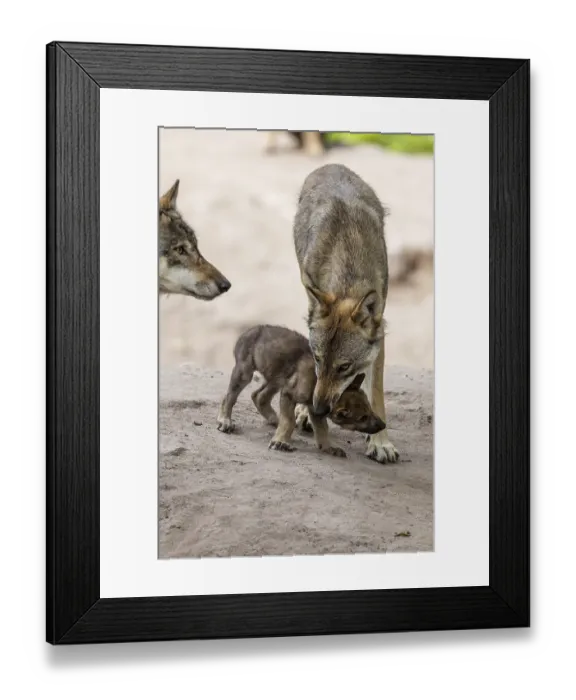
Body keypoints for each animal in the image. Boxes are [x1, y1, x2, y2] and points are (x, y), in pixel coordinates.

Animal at [216, 324, 385, 456]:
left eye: (370, 409)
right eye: (362, 418)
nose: (383, 425)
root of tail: (249, 330)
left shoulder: (315, 410)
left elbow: (323, 429)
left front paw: (328, 447)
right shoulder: (288, 395)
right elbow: (289, 420)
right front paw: (281, 441)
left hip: (276, 378)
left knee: (259, 396)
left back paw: (273, 419)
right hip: (245, 372)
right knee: (229, 397)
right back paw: (225, 420)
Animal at [293, 163, 400, 464]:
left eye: (344, 367)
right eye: (318, 359)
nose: (318, 409)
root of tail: (331, 165)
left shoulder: (379, 335)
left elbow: (375, 392)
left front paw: (380, 443)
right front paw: (306, 413)